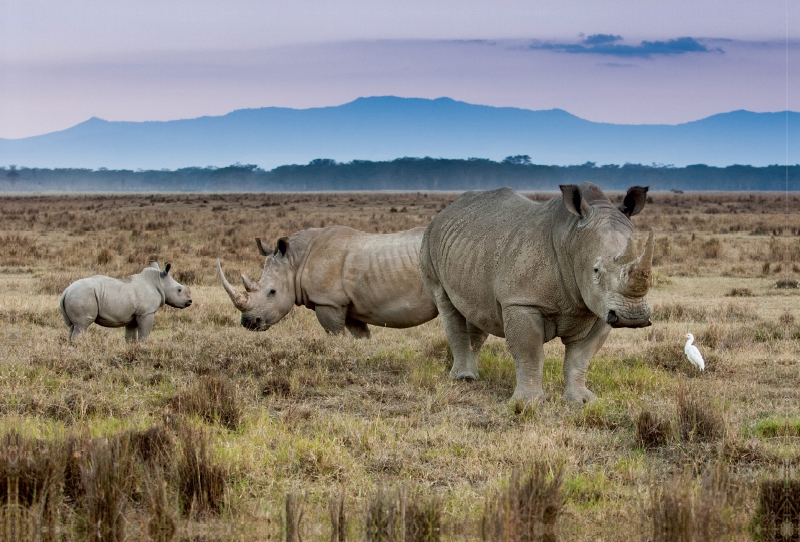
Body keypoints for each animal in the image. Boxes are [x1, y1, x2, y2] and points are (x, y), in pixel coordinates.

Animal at [58, 262, 193, 342]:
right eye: (179, 290)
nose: (190, 301)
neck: (159, 282)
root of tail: (66, 291)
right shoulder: (147, 312)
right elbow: (144, 334)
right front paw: (143, 347)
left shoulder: (132, 317)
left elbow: (130, 337)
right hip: (82, 295)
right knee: (82, 325)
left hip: (76, 295)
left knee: (73, 327)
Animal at [217, 226, 438, 338]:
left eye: (272, 292)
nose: (249, 323)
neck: (295, 261)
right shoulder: (348, 305)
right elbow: (360, 336)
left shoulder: (328, 301)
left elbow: (334, 335)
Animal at [422, 186, 652, 404]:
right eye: (596, 270)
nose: (634, 316)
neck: (572, 239)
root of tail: (445, 212)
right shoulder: (521, 302)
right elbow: (530, 353)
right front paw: (528, 403)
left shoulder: (599, 308)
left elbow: (580, 358)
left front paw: (582, 400)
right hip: (429, 240)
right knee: (447, 306)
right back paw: (463, 378)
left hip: (469, 248)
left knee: (477, 311)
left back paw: (470, 376)